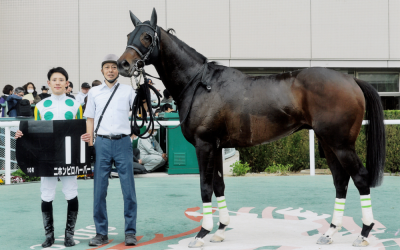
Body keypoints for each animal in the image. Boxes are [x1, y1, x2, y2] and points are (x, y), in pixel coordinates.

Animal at [117, 8, 386, 248]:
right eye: (129, 34)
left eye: (147, 36)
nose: (123, 64)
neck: (201, 84)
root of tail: (350, 79)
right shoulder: (216, 147)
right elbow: (218, 185)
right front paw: (220, 230)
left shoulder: (204, 145)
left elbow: (205, 187)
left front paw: (202, 233)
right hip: (328, 143)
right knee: (341, 181)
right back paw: (330, 233)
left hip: (341, 144)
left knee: (360, 178)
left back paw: (364, 233)